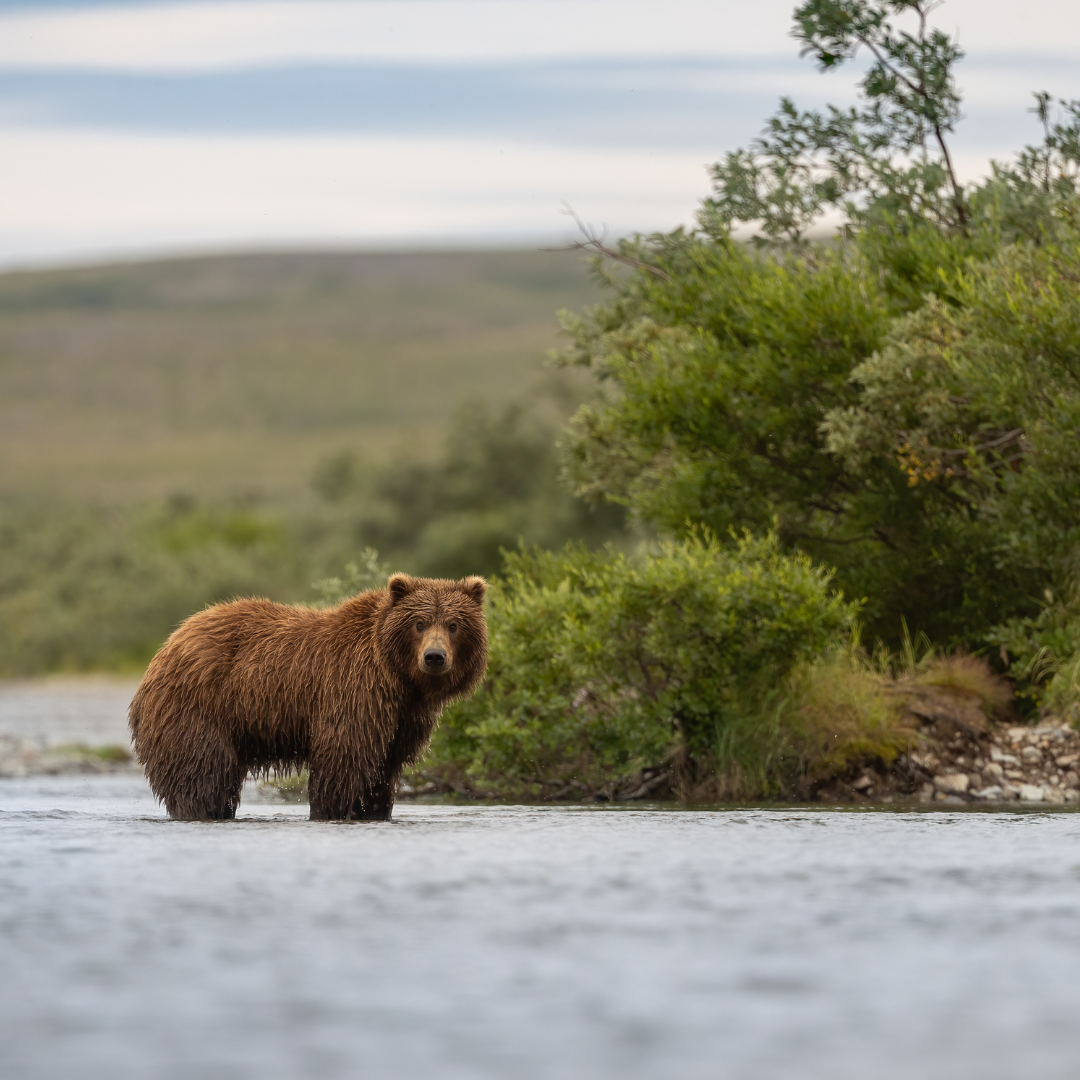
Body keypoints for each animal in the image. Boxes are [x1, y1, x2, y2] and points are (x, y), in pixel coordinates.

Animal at [128, 573, 487, 821]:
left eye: (454, 624)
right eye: (419, 623)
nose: (434, 657)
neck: (397, 677)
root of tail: (166, 646)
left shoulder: (402, 718)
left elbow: (382, 772)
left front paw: (374, 809)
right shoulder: (352, 691)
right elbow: (342, 762)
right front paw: (333, 810)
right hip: (199, 707)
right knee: (204, 778)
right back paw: (204, 810)